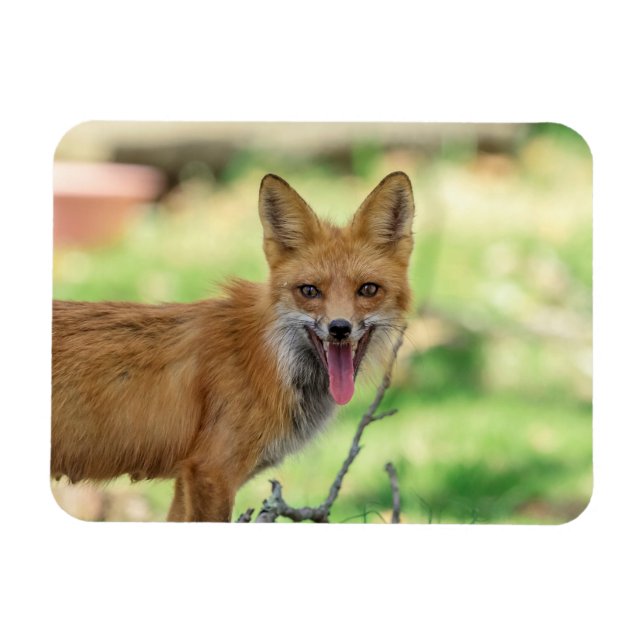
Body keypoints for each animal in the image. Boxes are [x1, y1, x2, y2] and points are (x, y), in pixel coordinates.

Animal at [51, 171, 415, 521]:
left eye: (368, 289)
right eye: (309, 291)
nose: (339, 328)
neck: (268, 359)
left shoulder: (186, 478)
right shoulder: (211, 471)